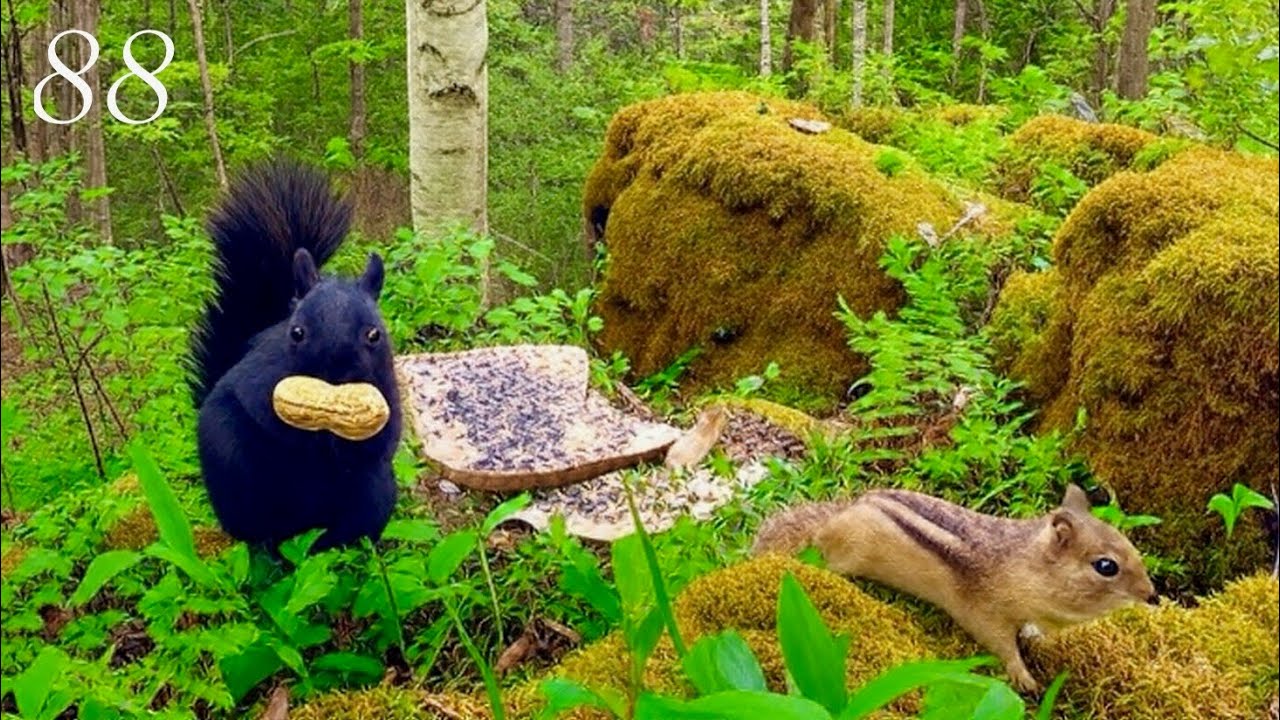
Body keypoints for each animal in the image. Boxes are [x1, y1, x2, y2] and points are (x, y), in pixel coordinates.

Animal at [188, 160, 401, 552]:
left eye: (375, 334)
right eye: (296, 332)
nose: (335, 372)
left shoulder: (388, 394)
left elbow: (381, 440)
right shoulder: (261, 380)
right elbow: (268, 418)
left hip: (375, 497)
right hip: (241, 485)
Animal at [752, 484, 1158, 693]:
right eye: (1106, 566)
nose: (1151, 594)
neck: (1024, 563)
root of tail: (833, 517)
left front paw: (1037, 639)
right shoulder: (985, 612)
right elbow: (1001, 646)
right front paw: (1025, 678)